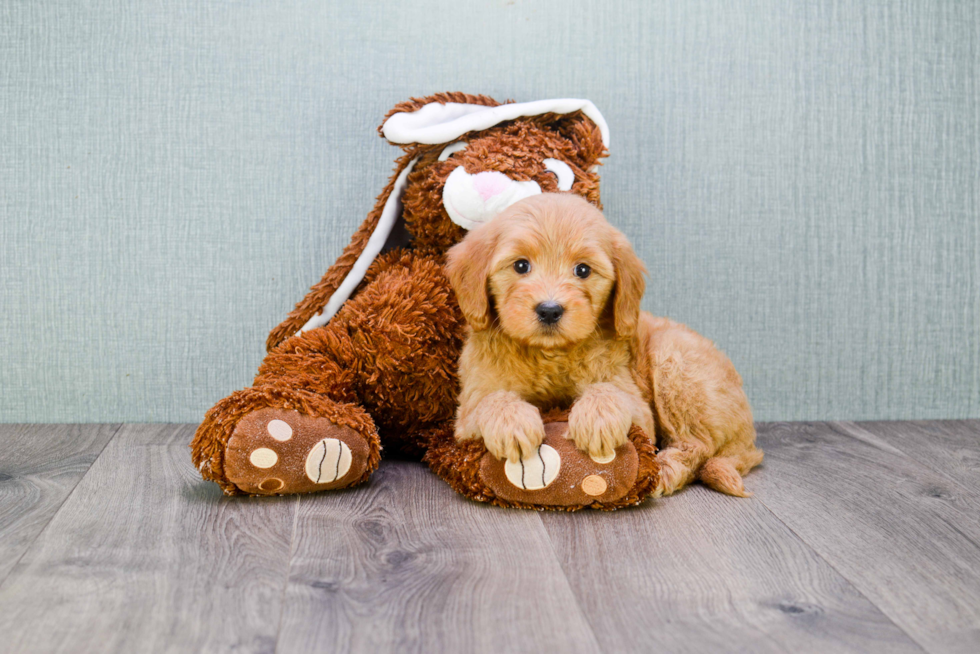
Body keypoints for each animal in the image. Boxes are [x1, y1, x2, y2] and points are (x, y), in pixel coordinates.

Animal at [446, 193, 764, 498]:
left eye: (583, 270)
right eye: (521, 265)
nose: (549, 310)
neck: (549, 354)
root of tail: (748, 438)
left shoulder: (637, 406)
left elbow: (610, 391)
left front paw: (597, 419)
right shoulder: (468, 408)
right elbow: (491, 400)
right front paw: (512, 424)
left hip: (673, 359)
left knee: (698, 445)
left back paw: (664, 469)